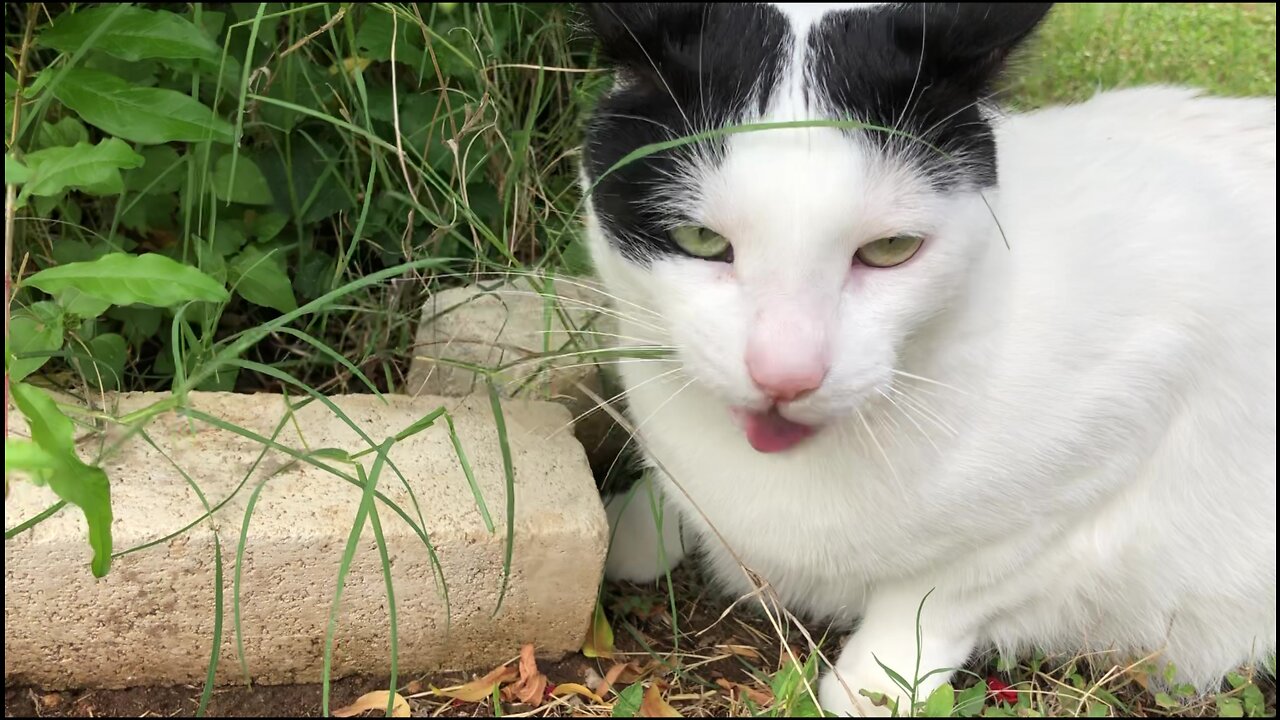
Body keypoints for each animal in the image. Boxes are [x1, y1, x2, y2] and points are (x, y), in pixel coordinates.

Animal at [576, 2, 1274, 712]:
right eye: (699, 238)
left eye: (890, 249)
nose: (786, 372)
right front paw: (631, 527)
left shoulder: (1146, 380)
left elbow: (947, 588)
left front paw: (875, 686)